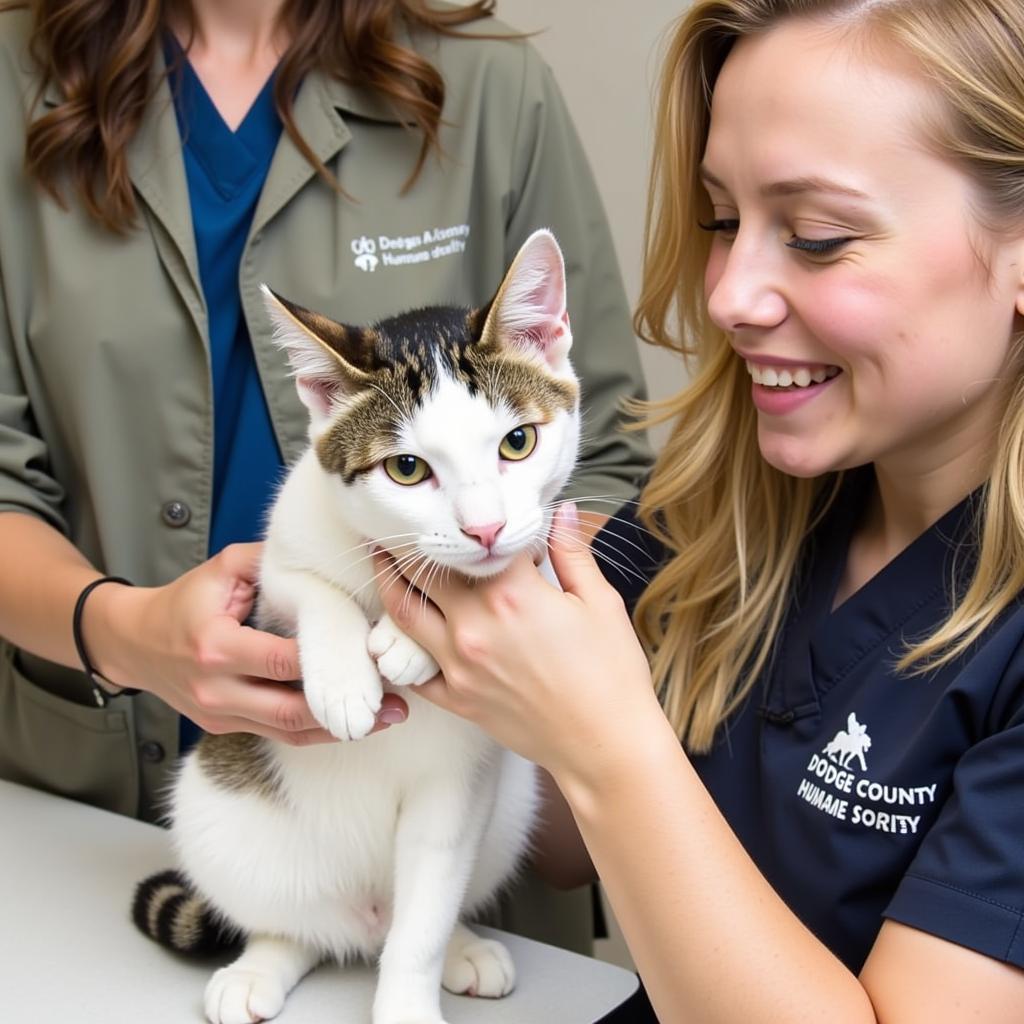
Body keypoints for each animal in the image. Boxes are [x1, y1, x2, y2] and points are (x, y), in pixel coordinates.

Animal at [134, 232, 585, 1024]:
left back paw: (460, 946)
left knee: (423, 904)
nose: (485, 528)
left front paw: (411, 638)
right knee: (290, 927)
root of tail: (363, 920)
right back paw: (261, 965)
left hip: (494, 817)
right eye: (406, 469)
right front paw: (346, 676)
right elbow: (310, 588)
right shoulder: (276, 557)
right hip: (222, 825)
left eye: (518, 443)